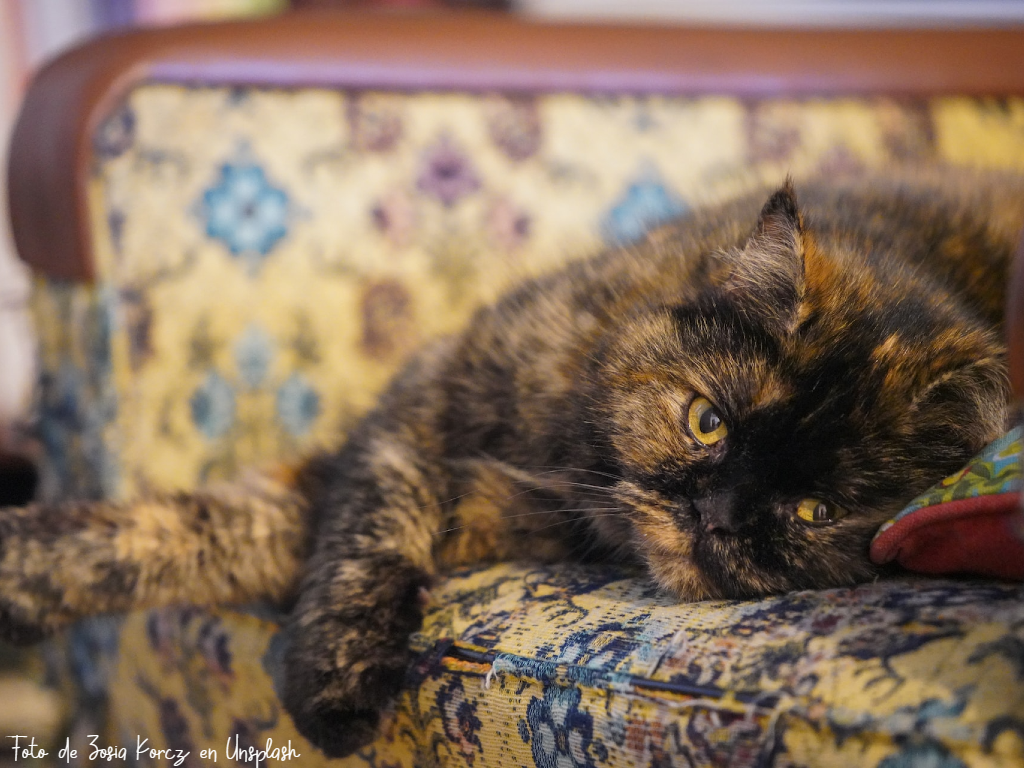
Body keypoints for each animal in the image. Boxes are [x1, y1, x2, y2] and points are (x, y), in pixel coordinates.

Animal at [2, 169, 1024, 757]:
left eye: (815, 513)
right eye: (706, 423)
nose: (719, 515)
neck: (567, 456)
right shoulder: (420, 408)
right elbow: (237, 529)